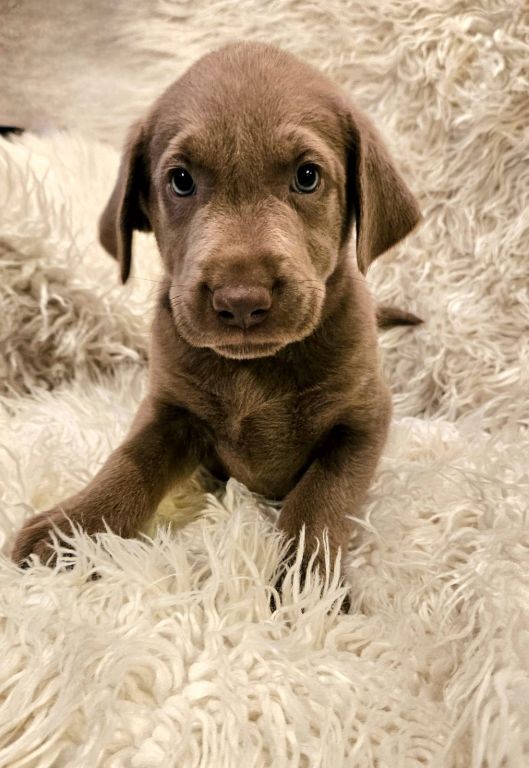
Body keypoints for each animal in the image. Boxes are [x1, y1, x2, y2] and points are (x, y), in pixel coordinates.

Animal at [10, 45, 418, 604]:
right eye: (181, 180)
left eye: (307, 177)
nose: (241, 300)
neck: (256, 368)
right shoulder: (169, 410)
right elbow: (128, 463)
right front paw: (71, 529)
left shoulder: (363, 420)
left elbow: (320, 498)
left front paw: (308, 585)